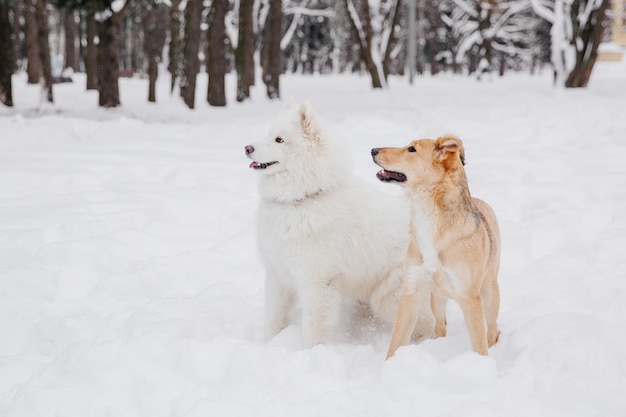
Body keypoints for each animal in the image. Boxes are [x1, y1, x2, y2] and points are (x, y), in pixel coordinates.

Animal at [243, 98, 410, 344]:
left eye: (279, 139)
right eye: (269, 134)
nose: (247, 148)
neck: (304, 197)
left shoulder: (317, 282)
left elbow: (314, 329)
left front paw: (312, 352)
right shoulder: (277, 276)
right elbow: (273, 318)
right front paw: (268, 343)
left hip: (389, 297)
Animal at [370, 136, 498, 358]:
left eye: (411, 149)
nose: (373, 150)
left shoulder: (470, 299)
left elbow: (480, 346)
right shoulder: (411, 293)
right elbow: (396, 341)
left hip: (489, 293)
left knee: (492, 330)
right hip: (435, 299)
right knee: (440, 326)